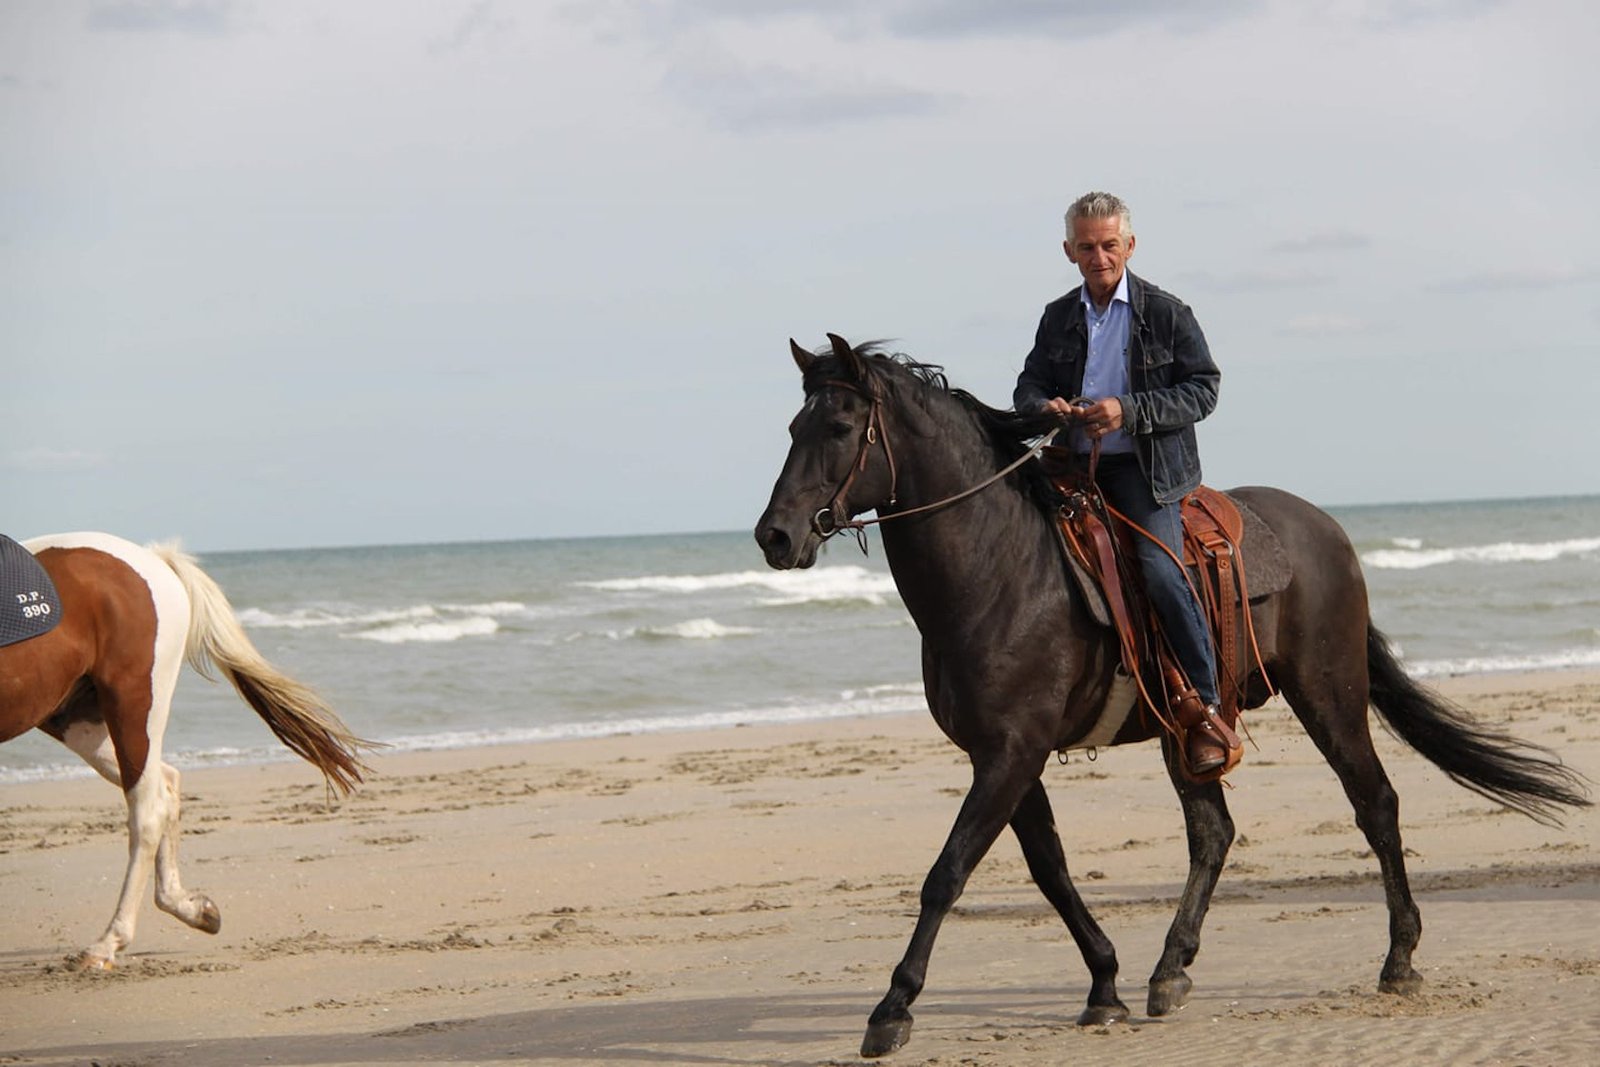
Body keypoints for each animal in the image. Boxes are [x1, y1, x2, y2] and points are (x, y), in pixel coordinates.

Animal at [0, 531, 375, 969]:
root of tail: (152, 558)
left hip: (134, 704)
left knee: (147, 810)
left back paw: (108, 943)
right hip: (79, 723)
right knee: (165, 786)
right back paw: (189, 907)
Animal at [753, 335, 1591, 1058]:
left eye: (838, 426)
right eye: (793, 426)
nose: (774, 536)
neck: (1000, 568)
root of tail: (1327, 530)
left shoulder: (1010, 752)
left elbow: (946, 873)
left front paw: (892, 1008)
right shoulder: (1004, 756)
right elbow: (1050, 870)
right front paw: (1105, 983)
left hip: (1329, 692)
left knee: (1374, 803)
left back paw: (1399, 958)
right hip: (1185, 730)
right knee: (1214, 831)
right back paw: (1171, 967)